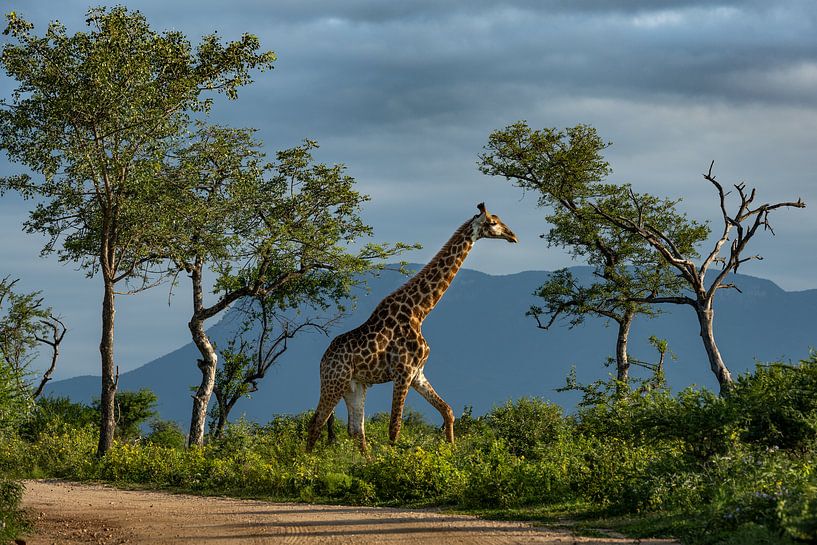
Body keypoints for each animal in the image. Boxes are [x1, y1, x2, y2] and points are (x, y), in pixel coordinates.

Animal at [306, 203, 518, 452]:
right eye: (493, 223)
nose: (513, 236)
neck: (419, 311)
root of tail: (323, 361)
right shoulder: (403, 372)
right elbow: (394, 427)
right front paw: (394, 460)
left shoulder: (418, 373)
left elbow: (448, 411)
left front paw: (452, 451)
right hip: (334, 382)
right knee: (316, 423)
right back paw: (307, 461)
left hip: (355, 386)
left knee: (356, 431)